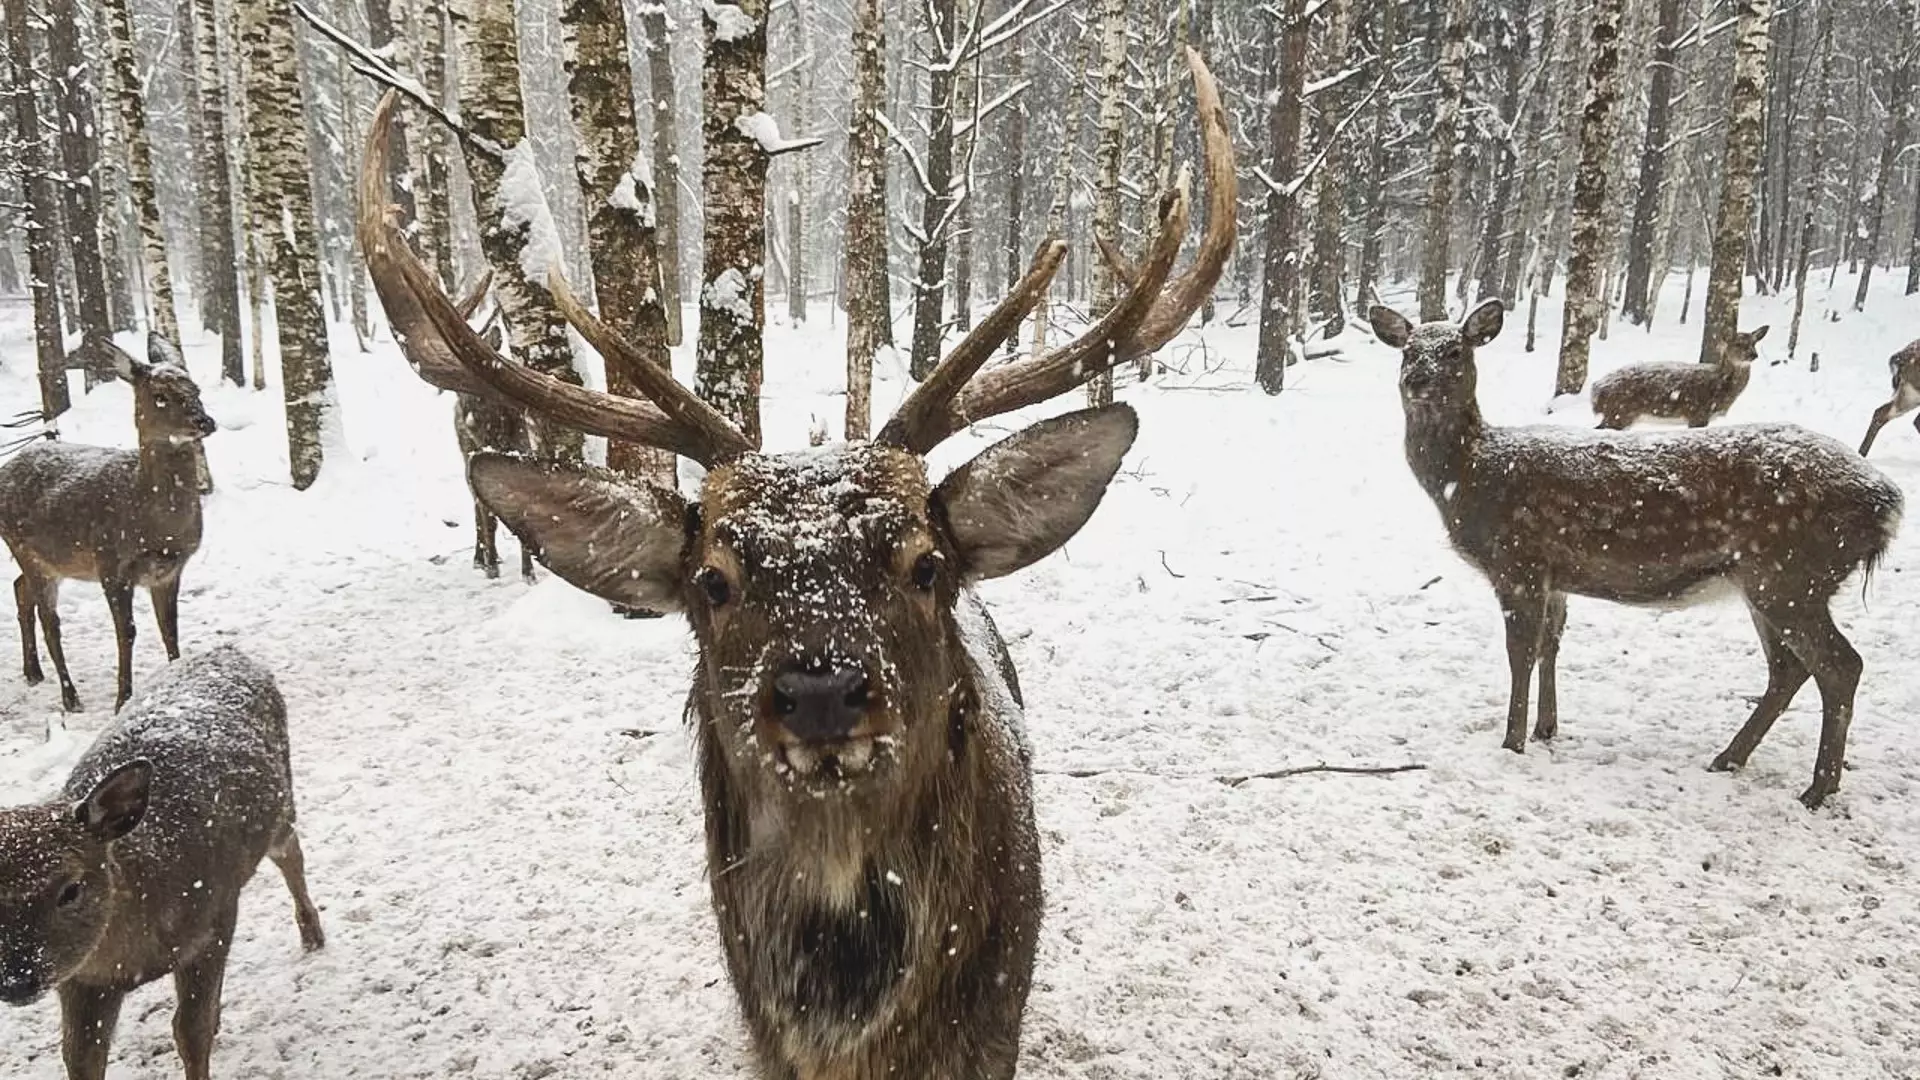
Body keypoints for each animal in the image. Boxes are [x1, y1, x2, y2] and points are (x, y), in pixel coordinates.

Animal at [0, 332, 218, 711]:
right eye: (160, 396)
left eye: (196, 389)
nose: (204, 422)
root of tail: (5, 469)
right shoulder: (111, 565)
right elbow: (127, 632)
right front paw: (122, 701)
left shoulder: (170, 569)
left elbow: (169, 628)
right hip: (23, 547)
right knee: (49, 619)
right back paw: (70, 696)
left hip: (49, 560)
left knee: (19, 589)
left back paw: (33, 672)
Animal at [0, 641, 324, 1076]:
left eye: (71, 889)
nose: (17, 981)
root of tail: (228, 650)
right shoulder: (81, 977)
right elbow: (79, 1055)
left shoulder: (214, 919)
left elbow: (189, 1031)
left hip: (280, 804)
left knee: (292, 855)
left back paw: (313, 935)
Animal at [1582, 320, 1774, 426]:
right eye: (1738, 344)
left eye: (1754, 343)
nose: (1753, 355)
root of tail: (1596, 390)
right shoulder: (1697, 412)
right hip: (1620, 411)